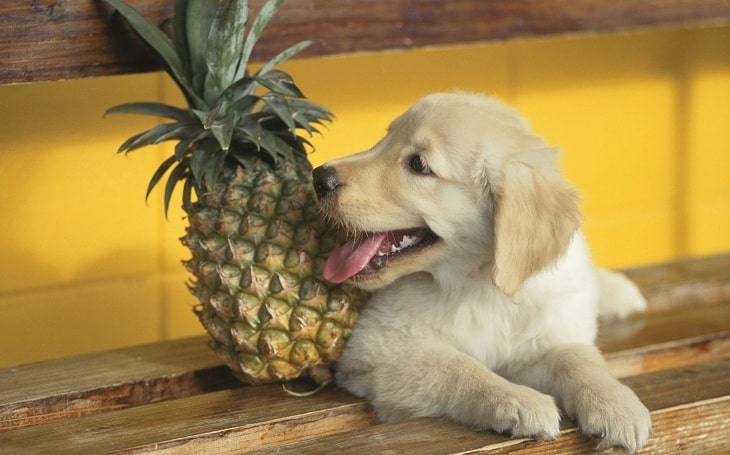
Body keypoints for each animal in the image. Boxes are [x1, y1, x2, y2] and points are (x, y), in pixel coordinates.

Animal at [310, 93, 652, 452]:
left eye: (418, 164)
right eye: (385, 139)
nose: (319, 178)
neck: (477, 282)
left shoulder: (545, 338)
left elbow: (578, 358)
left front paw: (615, 403)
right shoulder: (378, 348)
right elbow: (459, 366)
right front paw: (518, 400)